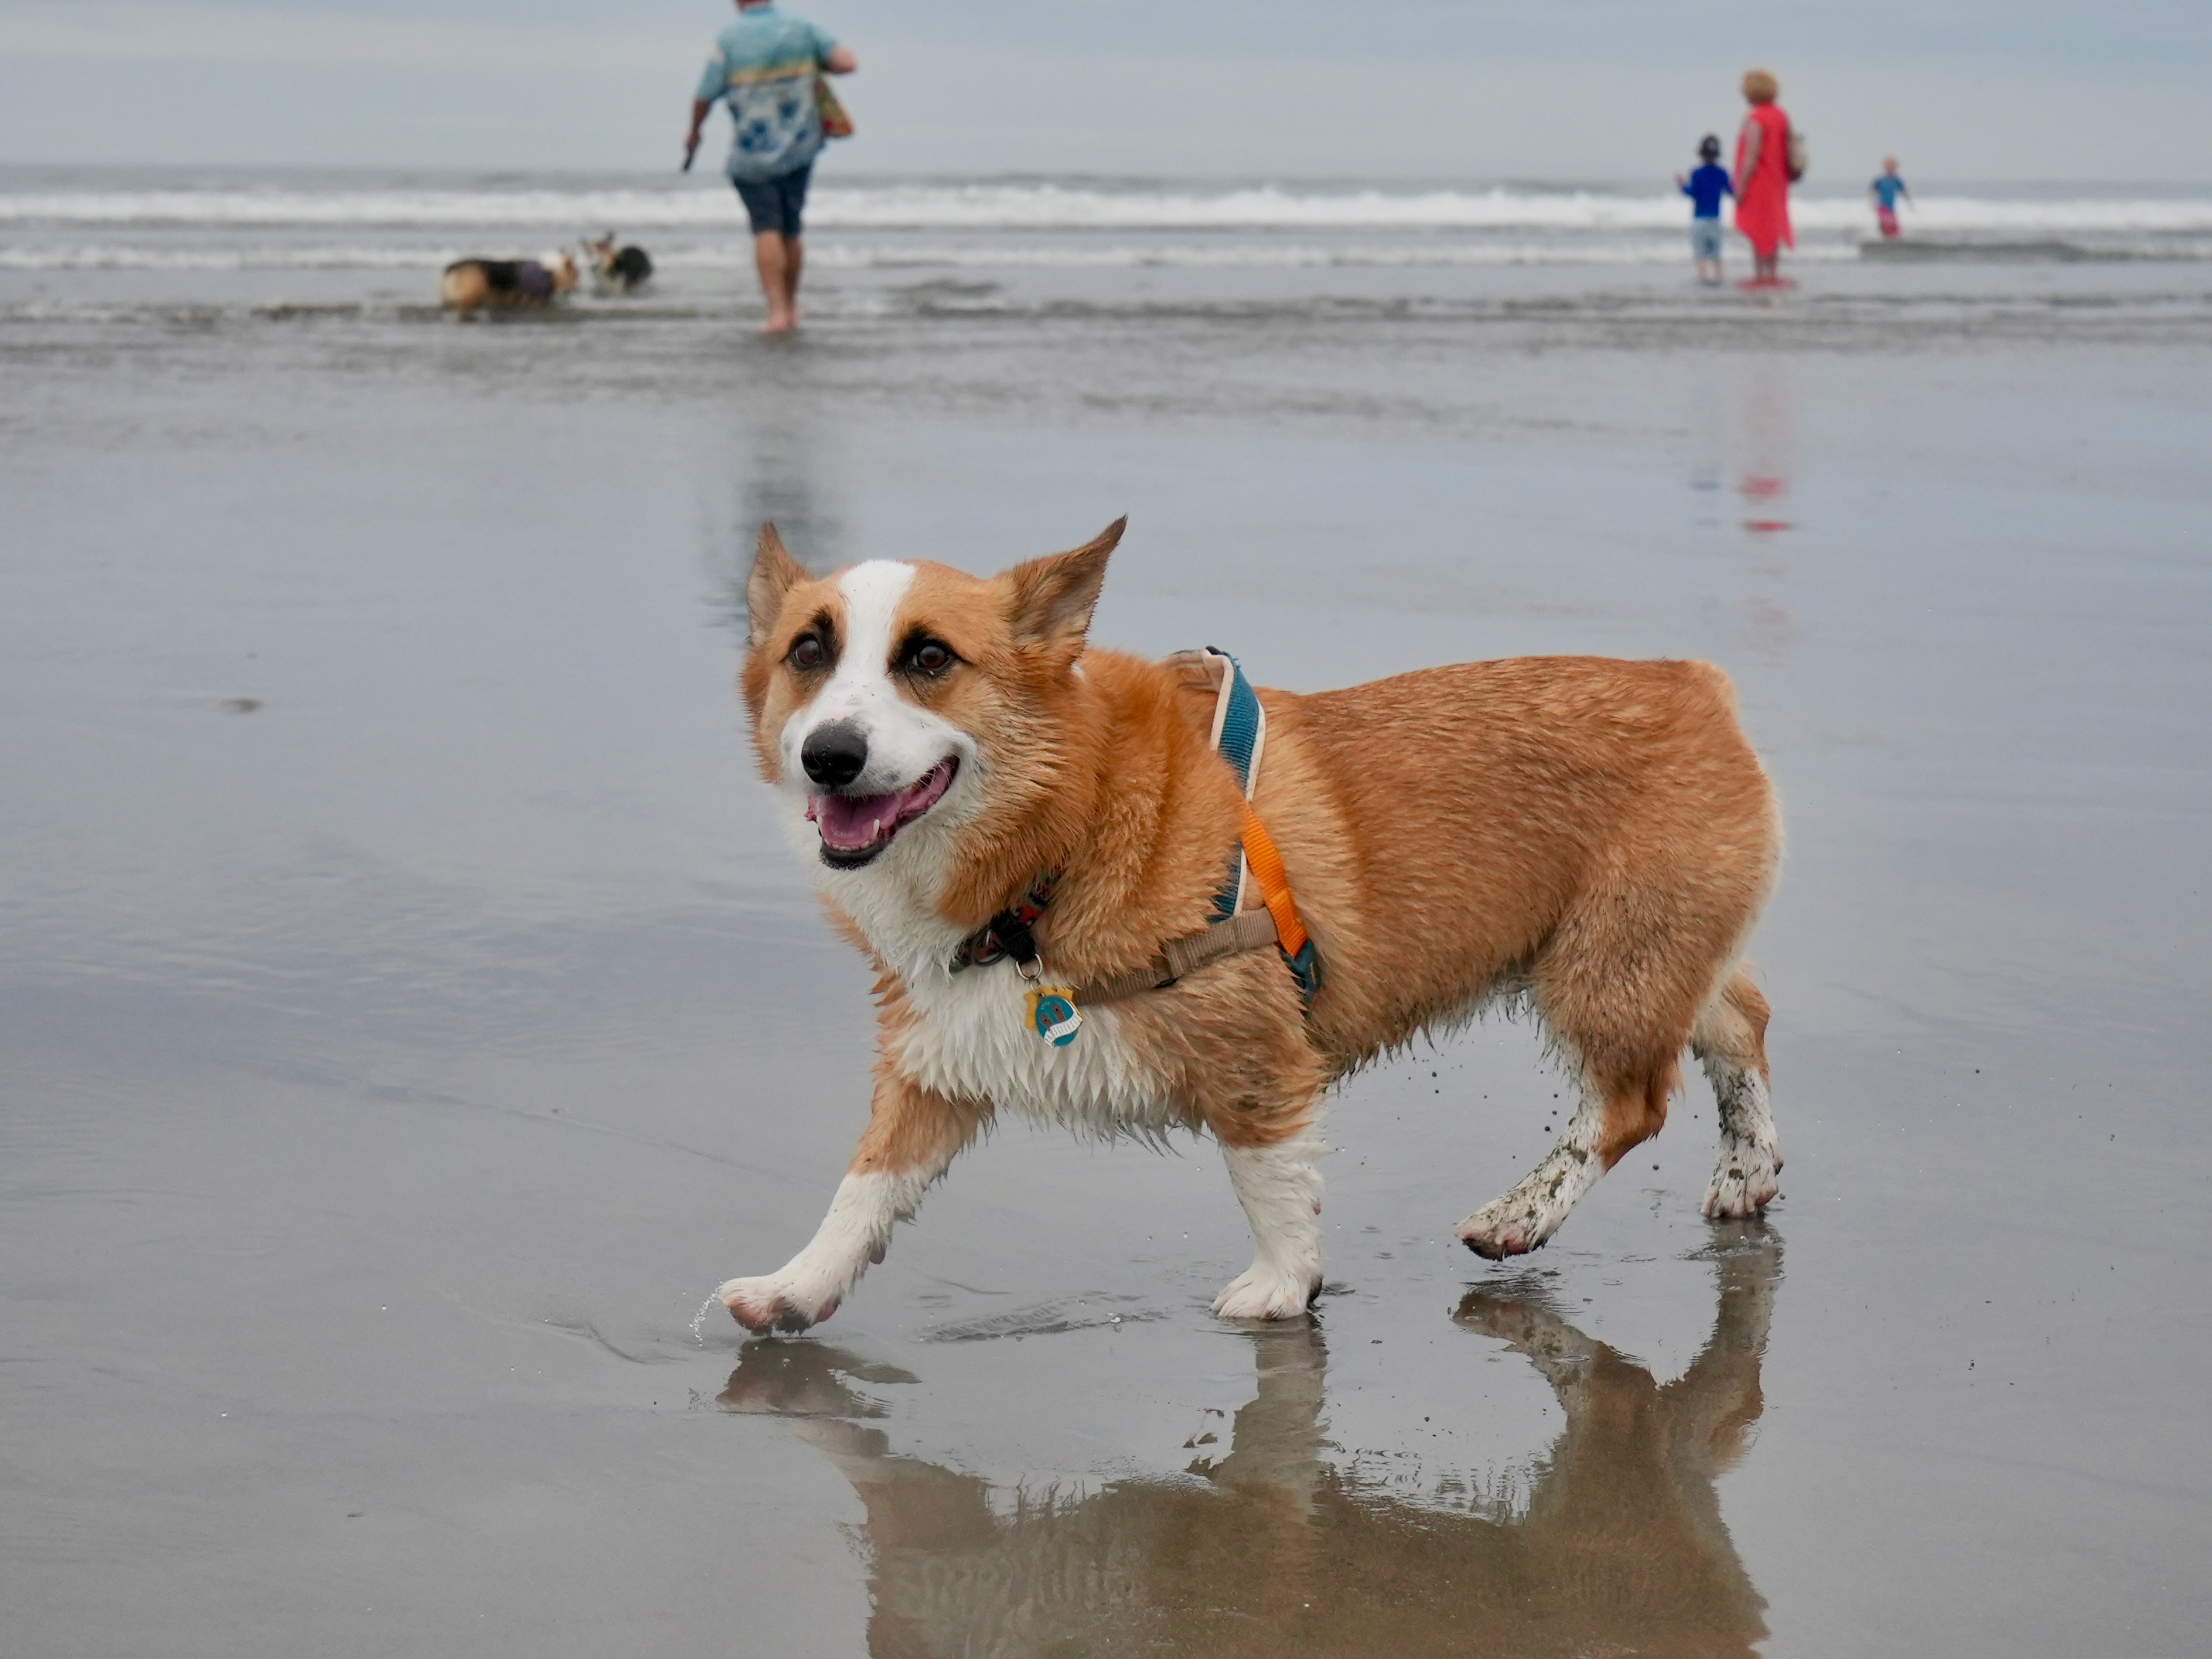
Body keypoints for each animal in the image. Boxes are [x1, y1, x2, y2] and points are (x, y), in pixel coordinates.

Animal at [725, 526, 1778, 1336]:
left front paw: (1280, 1288)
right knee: (1741, 1022)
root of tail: (1698, 684)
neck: (1065, 823)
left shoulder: (1255, 1055)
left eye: (930, 658)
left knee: (1631, 1104)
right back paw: (1747, 1172)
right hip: (1648, 955)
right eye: (808, 654)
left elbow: (1267, 1179)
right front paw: (793, 1290)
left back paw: (1518, 1217)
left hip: (1600, 972)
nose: (830, 756)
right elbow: (865, 1188)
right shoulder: (940, 1050)